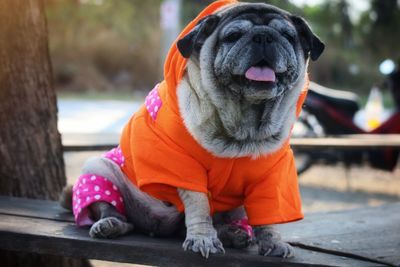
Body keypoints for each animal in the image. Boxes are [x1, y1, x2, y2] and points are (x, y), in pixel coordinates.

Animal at [60, 0, 324, 260]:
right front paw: (203, 239)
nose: (263, 37)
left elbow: (269, 215)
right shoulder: (184, 168)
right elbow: (199, 206)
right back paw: (110, 225)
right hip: (98, 168)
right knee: (113, 211)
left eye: (287, 36)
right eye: (233, 36)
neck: (243, 126)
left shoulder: (272, 177)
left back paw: (234, 234)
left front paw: (273, 242)